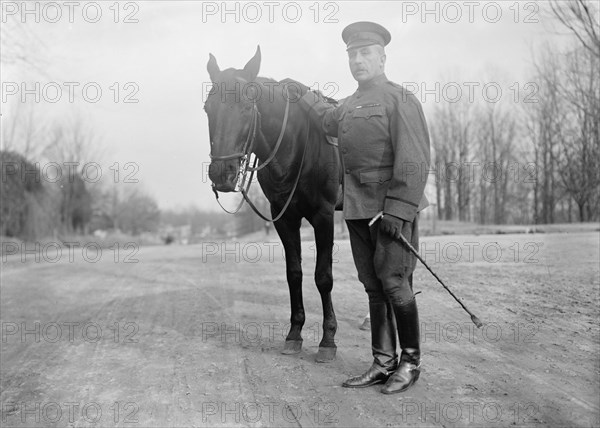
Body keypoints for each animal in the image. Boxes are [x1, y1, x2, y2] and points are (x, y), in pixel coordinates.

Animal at [205, 46, 338, 362]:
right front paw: (295, 333)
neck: (297, 143)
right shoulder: (284, 217)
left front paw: (328, 339)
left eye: (246, 106)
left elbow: (323, 277)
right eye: (207, 108)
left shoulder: (324, 215)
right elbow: (294, 274)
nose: (221, 173)